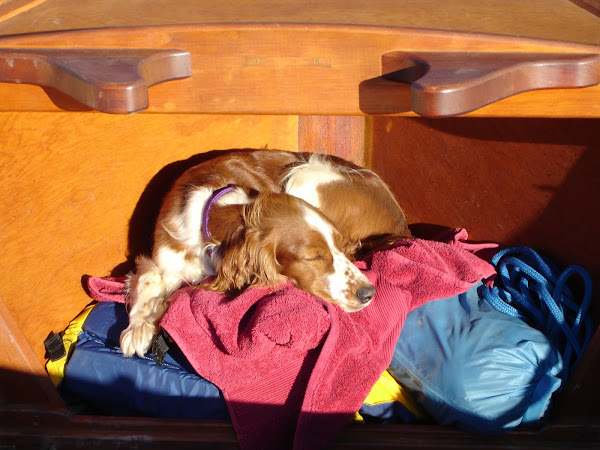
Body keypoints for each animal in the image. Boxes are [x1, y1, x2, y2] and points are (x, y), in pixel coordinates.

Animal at [122, 149, 412, 356]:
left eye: (338, 246)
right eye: (313, 257)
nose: (368, 293)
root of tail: (403, 224)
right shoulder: (164, 258)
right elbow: (147, 279)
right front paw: (139, 328)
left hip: (306, 174)